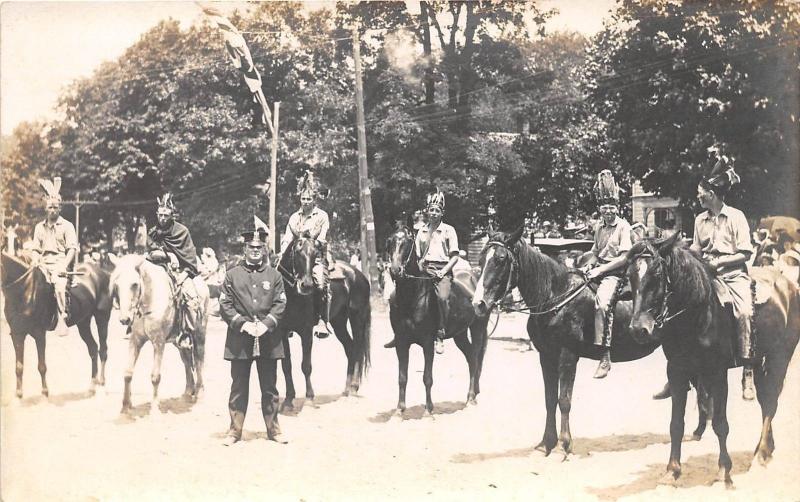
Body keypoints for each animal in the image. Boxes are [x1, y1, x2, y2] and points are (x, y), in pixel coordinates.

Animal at [0, 251, 112, 400]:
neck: (25, 289)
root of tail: (102, 272)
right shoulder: (17, 333)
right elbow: (19, 366)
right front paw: (18, 396)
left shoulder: (39, 333)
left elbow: (42, 365)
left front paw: (45, 393)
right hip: (83, 322)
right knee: (93, 349)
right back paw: (91, 388)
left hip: (102, 318)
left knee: (103, 350)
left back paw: (102, 385)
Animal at [276, 233, 370, 410]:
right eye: (297, 253)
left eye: (315, 255)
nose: (306, 285)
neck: (291, 295)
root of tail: (358, 274)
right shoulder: (282, 333)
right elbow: (286, 366)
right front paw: (288, 400)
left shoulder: (306, 332)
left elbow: (306, 366)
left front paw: (309, 399)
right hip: (339, 322)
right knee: (350, 348)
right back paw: (346, 390)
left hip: (357, 318)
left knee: (358, 348)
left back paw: (354, 388)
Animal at [386, 226, 490, 414]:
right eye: (390, 242)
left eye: (407, 243)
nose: (395, 271)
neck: (411, 298)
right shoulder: (401, 342)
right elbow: (402, 377)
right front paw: (399, 410)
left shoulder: (428, 343)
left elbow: (427, 378)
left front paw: (428, 410)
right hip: (460, 335)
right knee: (471, 358)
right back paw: (471, 396)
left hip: (478, 328)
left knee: (476, 357)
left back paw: (471, 398)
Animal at [472, 227, 708, 458]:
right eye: (481, 258)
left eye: (501, 259)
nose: (478, 304)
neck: (555, 295)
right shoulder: (546, 356)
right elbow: (550, 399)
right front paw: (546, 443)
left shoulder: (567, 355)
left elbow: (564, 400)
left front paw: (564, 445)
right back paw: (698, 429)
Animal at [628, 232, 796, 486]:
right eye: (629, 276)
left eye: (657, 275)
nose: (639, 329)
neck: (698, 313)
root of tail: (788, 284)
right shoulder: (676, 371)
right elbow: (676, 424)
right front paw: (672, 471)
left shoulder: (717, 372)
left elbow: (720, 424)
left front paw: (724, 472)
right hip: (758, 360)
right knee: (766, 398)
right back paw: (765, 450)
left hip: (780, 356)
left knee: (771, 403)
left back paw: (760, 456)